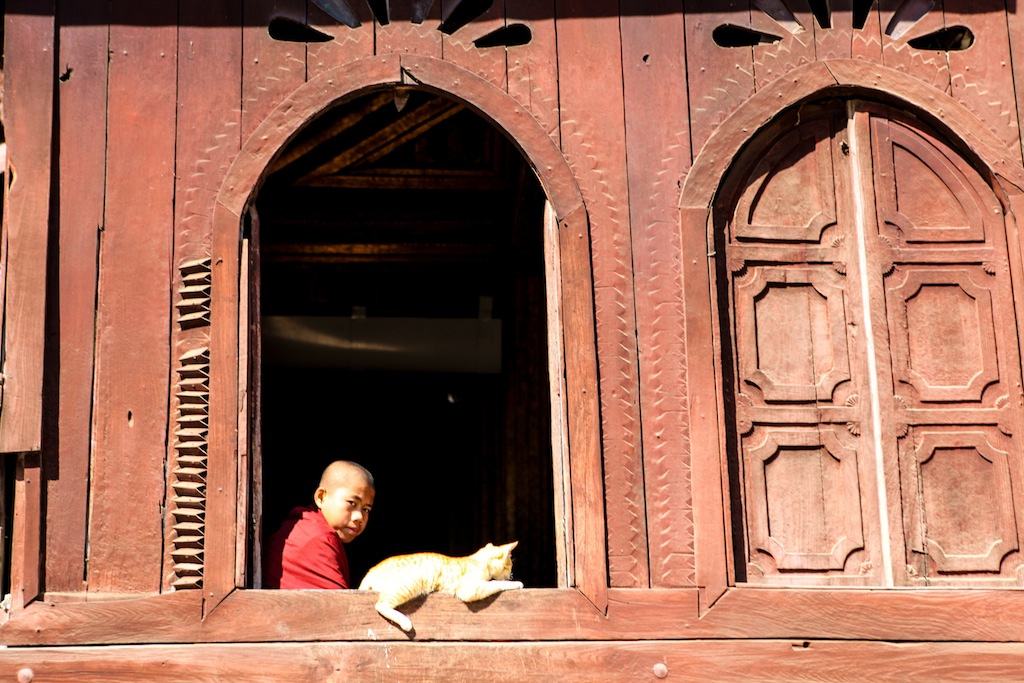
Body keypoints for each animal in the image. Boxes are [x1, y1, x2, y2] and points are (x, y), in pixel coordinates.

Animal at [358, 540, 520, 634]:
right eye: (510, 565)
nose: (511, 574)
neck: (478, 560)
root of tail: (370, 572)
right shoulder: (469, 589)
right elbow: (494, 583)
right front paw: (516, 583)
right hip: (411, 582)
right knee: (381, 604)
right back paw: (405, 622)